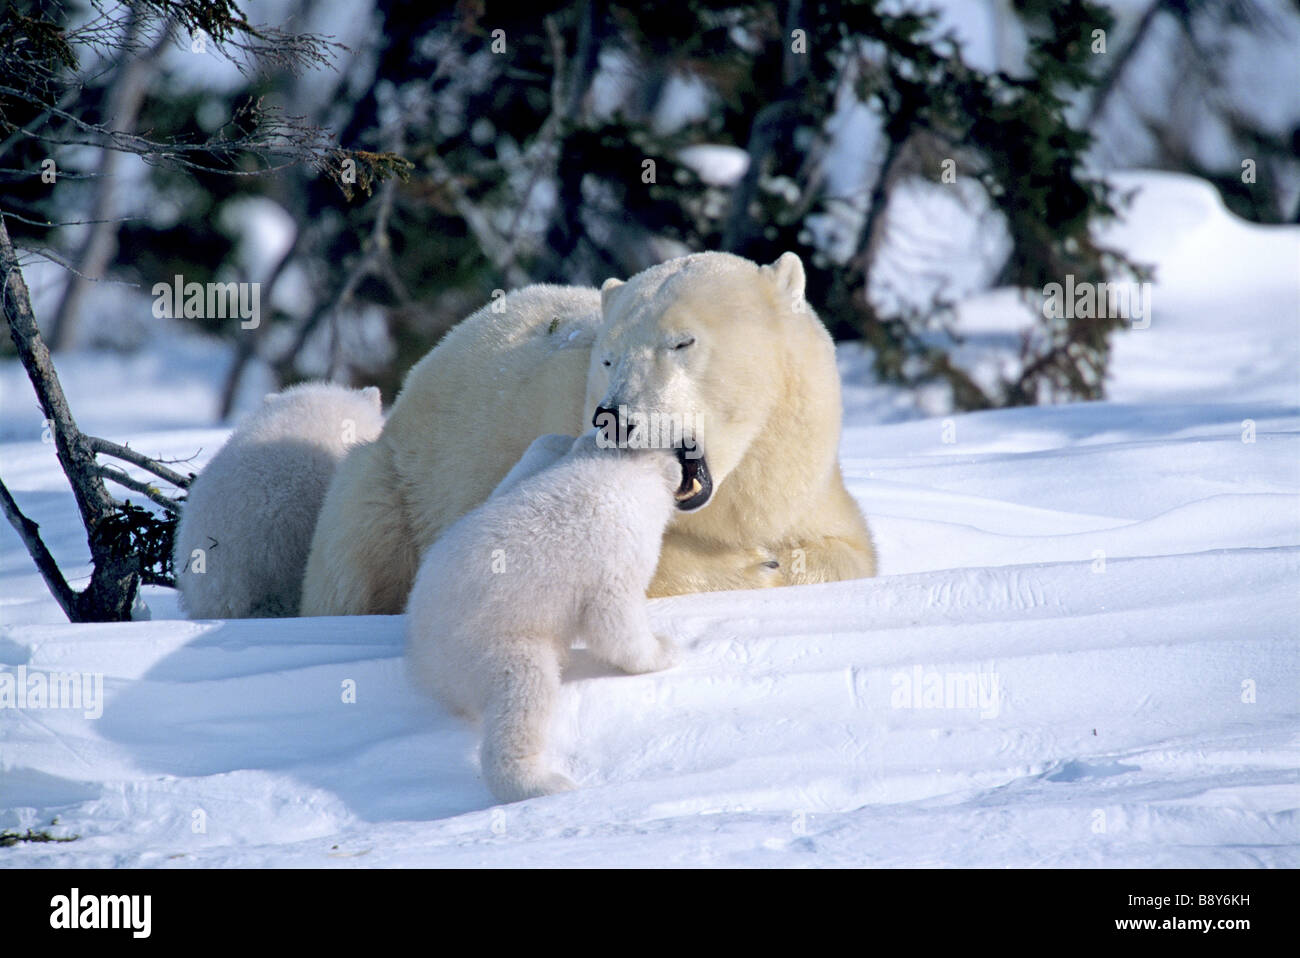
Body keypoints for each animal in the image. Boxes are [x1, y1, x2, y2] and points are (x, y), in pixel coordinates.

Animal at [299, 250, 878, 616]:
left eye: (682, 342)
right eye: (609, 356)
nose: (613, 417)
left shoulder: (795, 476)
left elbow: (850, 550)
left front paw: (777, 560)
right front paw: (753, 566)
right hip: (393, 482)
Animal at [408, 428, 686, 805]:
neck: (621, 473)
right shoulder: (618, 551)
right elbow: (613, 622)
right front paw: (664, 649)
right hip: (485, 646)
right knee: (524, 693)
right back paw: (543, 783)